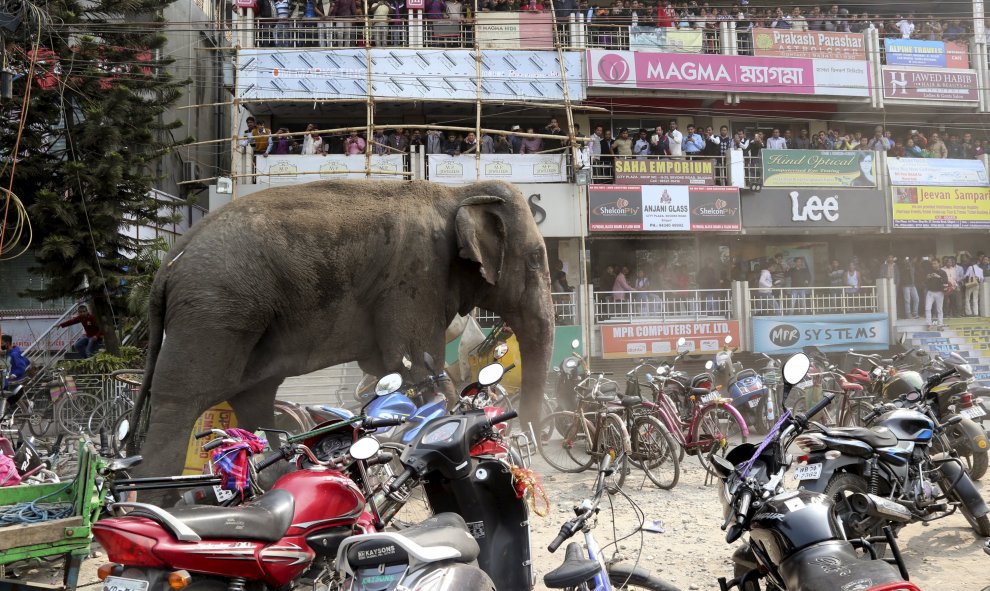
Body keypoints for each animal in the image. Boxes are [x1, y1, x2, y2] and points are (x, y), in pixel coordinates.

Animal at [128, 180, 556, 486]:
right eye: (536, 259)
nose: (533, 439)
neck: (457, 193)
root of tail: (167, 266)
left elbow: (391, 369)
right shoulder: (414, 277)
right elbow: (416, 363)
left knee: (254, 397)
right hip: (213, 312)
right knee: (181, 400)